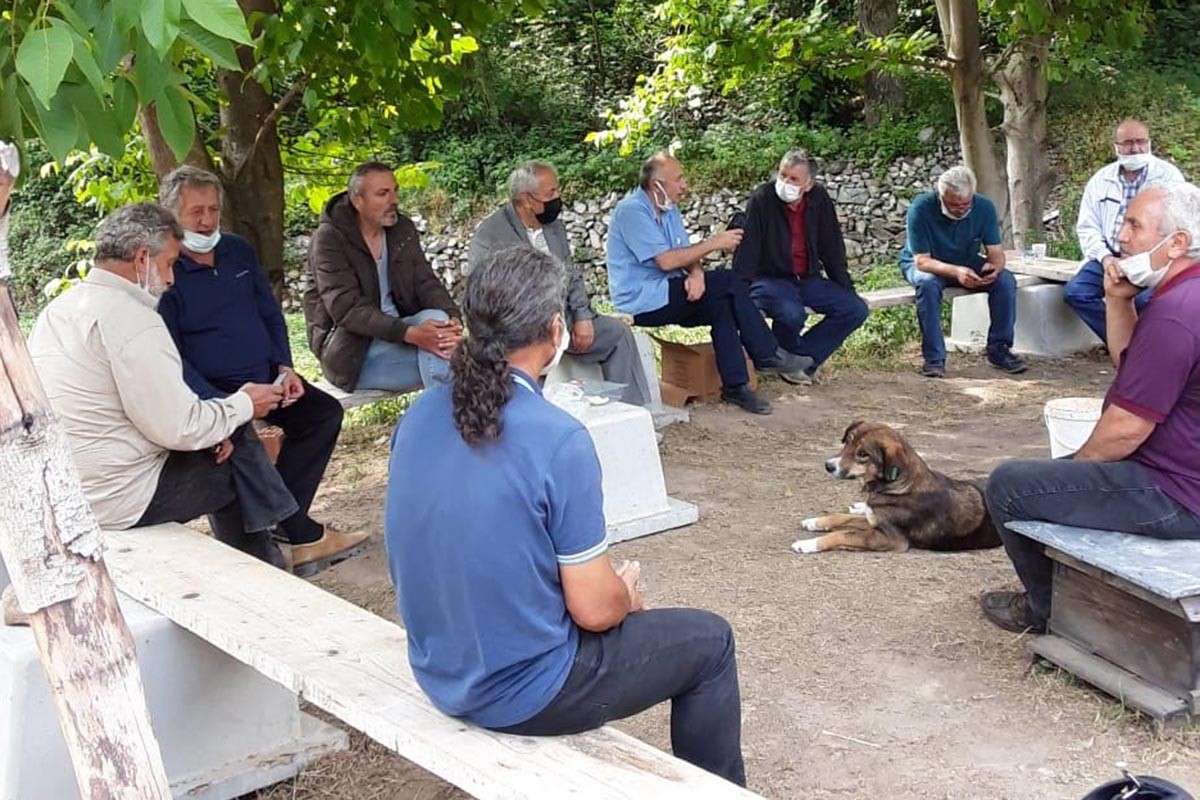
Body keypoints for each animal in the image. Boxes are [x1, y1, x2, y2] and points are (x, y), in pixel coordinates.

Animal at [792, 419, 998, 556]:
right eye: (848, 442)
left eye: (863, 454)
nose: (828, 466)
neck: (899, 486)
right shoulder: (875, 520)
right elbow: (840, 518)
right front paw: (815, 522)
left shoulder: (890, 538)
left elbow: (843, 534)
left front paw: (807, 544)